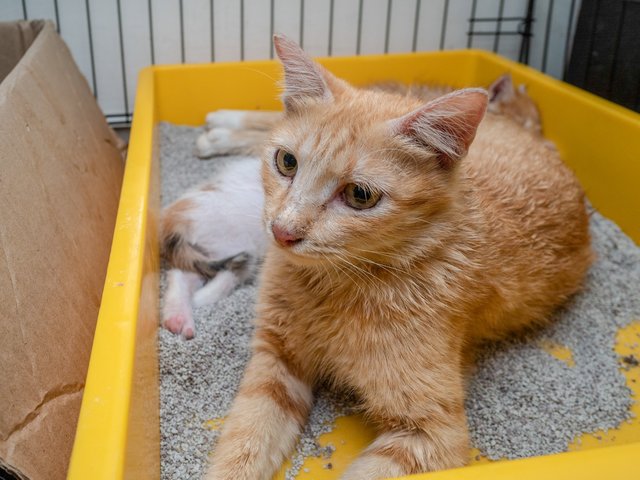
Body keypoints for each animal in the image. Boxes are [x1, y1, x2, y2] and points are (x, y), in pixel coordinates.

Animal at [204, 37, 592, 480]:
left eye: (360, 196)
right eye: (287, 162)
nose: (283, 230)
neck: (334, 286)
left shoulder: (432, 435)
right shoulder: (274, 363)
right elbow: (244, 441)